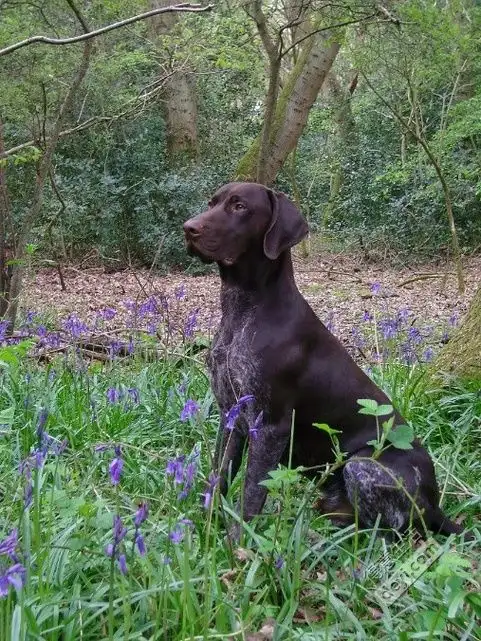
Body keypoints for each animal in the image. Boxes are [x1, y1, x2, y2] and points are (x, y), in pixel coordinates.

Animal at [184, 182, 468, 536]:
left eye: (240, 206)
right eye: (212, 202)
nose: (188, 228)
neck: (243, 312)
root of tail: (435, 504)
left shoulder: (271, 426)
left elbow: (251, 495)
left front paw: (236, 541)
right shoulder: (231, 415)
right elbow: (218, 477)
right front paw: (204, 527)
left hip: (363, 465)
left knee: (391, 530)